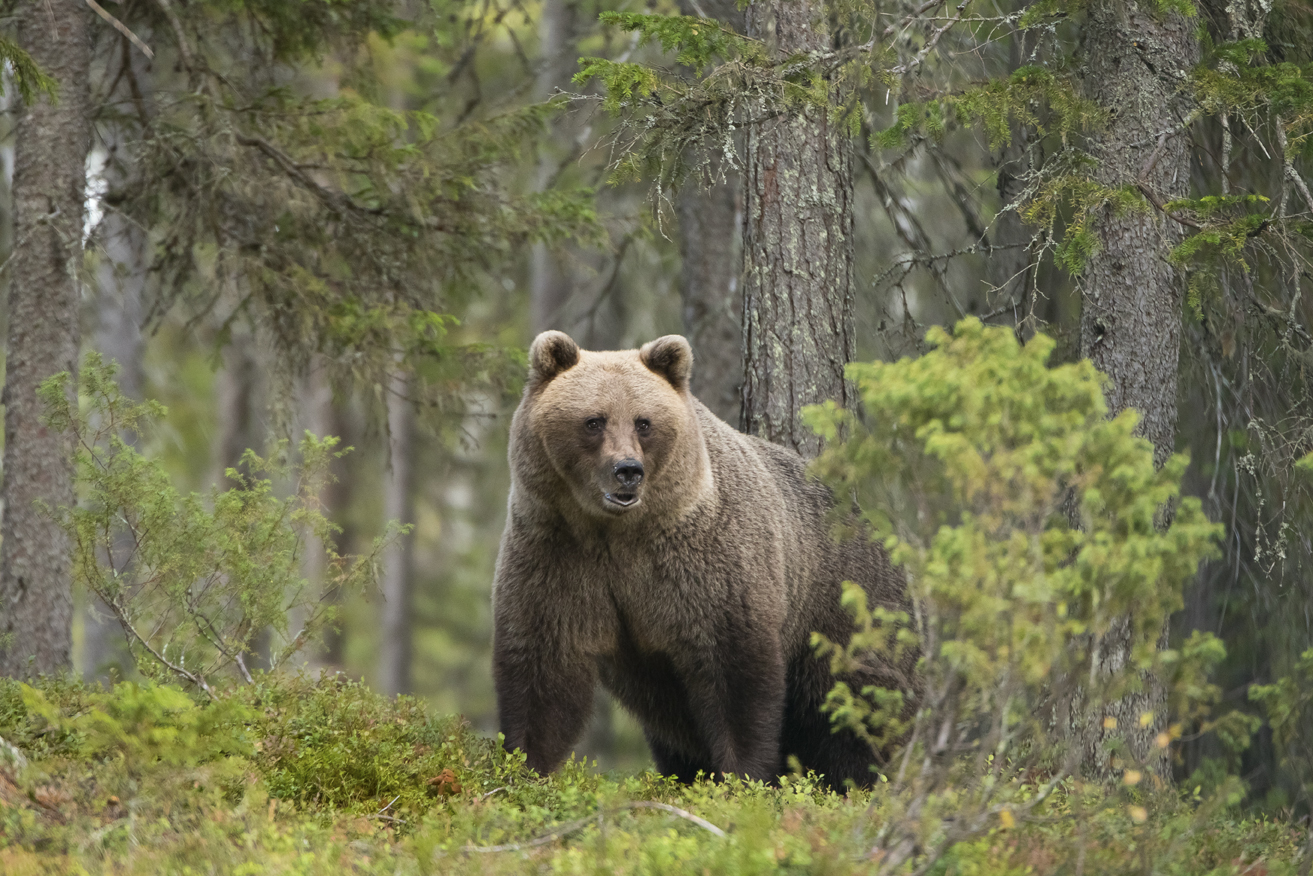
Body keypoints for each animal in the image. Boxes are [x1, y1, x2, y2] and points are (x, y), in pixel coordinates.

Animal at [491, 332, 913, 793]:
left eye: (643, 422)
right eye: (594, 421)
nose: (627, 471)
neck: (617, 532)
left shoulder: (706, 565)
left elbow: (733, 674)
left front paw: (741, 777)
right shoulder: (558, 553)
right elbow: (544, 667)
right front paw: (523, 767)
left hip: (846, 611)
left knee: (857, 708)